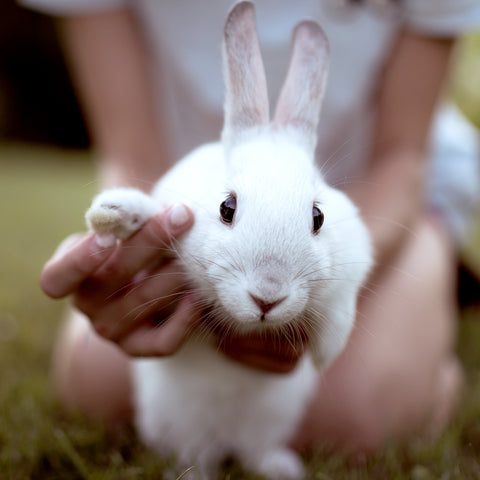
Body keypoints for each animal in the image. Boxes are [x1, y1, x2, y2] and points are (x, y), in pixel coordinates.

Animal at [85, 1, 372, 478]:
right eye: (226, 208)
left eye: (317, 217)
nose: (267, 296)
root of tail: (226, 441)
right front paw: (114, 213)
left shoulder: (352, 262)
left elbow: (340, 309)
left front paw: (326, 353)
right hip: (180, 421)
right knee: (195, 454)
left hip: (271, 418)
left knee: (254, 449)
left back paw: (281, 467)